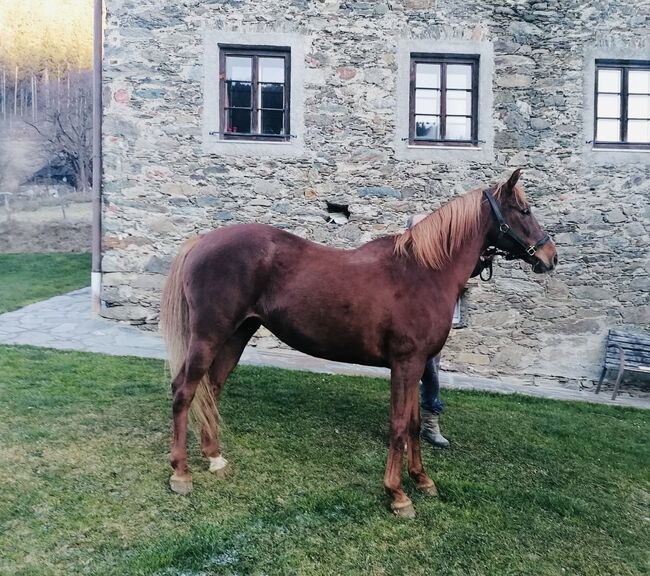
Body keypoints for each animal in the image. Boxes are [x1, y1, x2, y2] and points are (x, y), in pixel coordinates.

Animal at [159, 168, 556, 516]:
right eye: (524, 211)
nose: (549, 257)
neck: (424, 271)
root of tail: (202, 241)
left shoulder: (416, 366)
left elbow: (413, 424)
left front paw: (421, 480)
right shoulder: (406, 364)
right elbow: (398, 426)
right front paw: (398, 495)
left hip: (237, 335)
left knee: (211, 389)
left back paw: (214, 457)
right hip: (208, 335)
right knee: (185, 391)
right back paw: (181, 472)